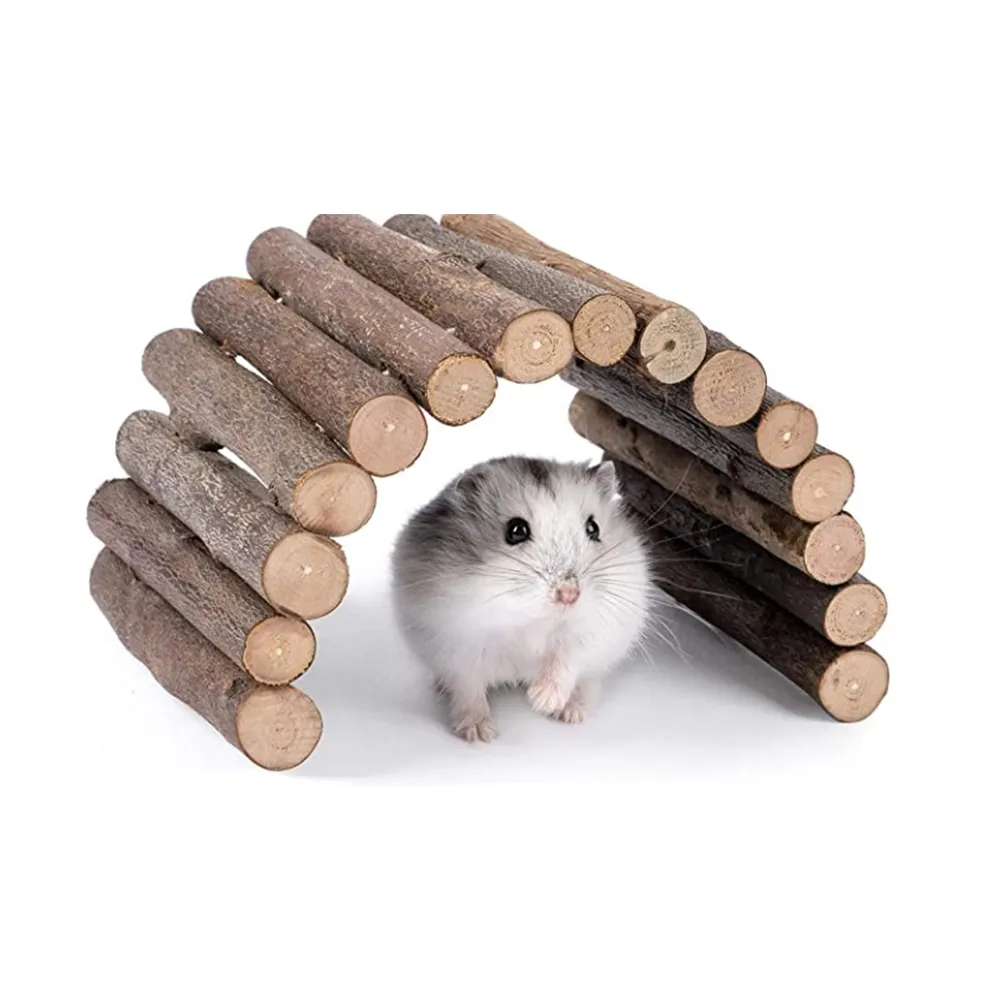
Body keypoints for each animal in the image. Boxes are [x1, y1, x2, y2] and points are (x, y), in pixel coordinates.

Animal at [391, 456, 653, 741]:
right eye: (516, 530)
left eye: (593, 528)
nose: (569, 595)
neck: (532, 619)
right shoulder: (459, 645)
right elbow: (469, 690)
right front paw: (480, 735)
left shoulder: (592, 632)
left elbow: (566, 659)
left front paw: (541, 702)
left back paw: (571, 713)